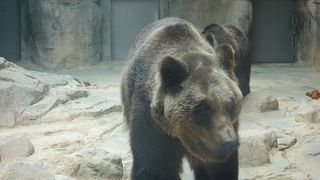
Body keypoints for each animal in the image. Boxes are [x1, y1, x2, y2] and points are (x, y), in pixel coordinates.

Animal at [120, 17, 242, 180]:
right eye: (203, 107)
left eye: (231, 103)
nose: (230, 143)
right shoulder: (153, 124)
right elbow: (154, 167)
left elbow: (221, 168)